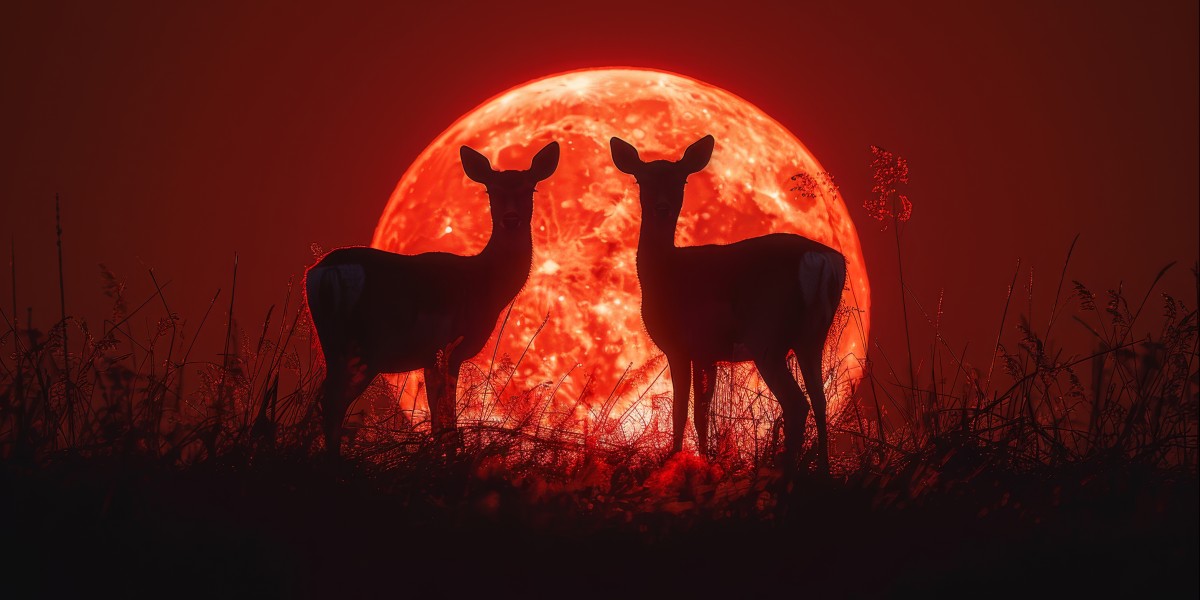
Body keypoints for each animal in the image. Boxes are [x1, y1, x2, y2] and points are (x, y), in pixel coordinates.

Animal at [305, 141, 559, 457]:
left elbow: (438, 422)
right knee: (332, 404)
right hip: (362, 347)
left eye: (530, 189)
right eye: (491, 190)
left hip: (336, 346)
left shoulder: (429, 357)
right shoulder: (450, 348)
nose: (511, 219)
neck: (482, 283)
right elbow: (448, 422)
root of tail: (321, 273)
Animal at [610, 134, 846, 473]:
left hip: (767, 336)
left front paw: (673, 461)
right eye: (642, 179)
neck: (665, 271)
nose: (662, 207)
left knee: (797, 404)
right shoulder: (707, 354)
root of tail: (823, 260)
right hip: (812, 337)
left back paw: (783, 472)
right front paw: (704, 463)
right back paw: (821, 471)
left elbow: (681, 411)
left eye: (681, 180)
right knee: (820, 400)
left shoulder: (680, 346)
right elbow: (702, 414)